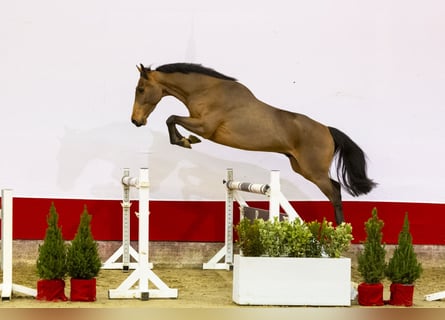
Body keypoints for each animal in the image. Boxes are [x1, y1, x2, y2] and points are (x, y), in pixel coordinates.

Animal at [131, 61, 374, 224]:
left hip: (314, 171)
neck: (206, 91)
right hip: (302, 168)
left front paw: (186, 140)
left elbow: (171, 118)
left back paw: (340, 234)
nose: (136, 121)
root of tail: (327, 130)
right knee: (336, 188)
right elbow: (172, 120)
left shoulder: (205, 127)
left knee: (335, 192)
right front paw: (185, 141)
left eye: (140, 89)